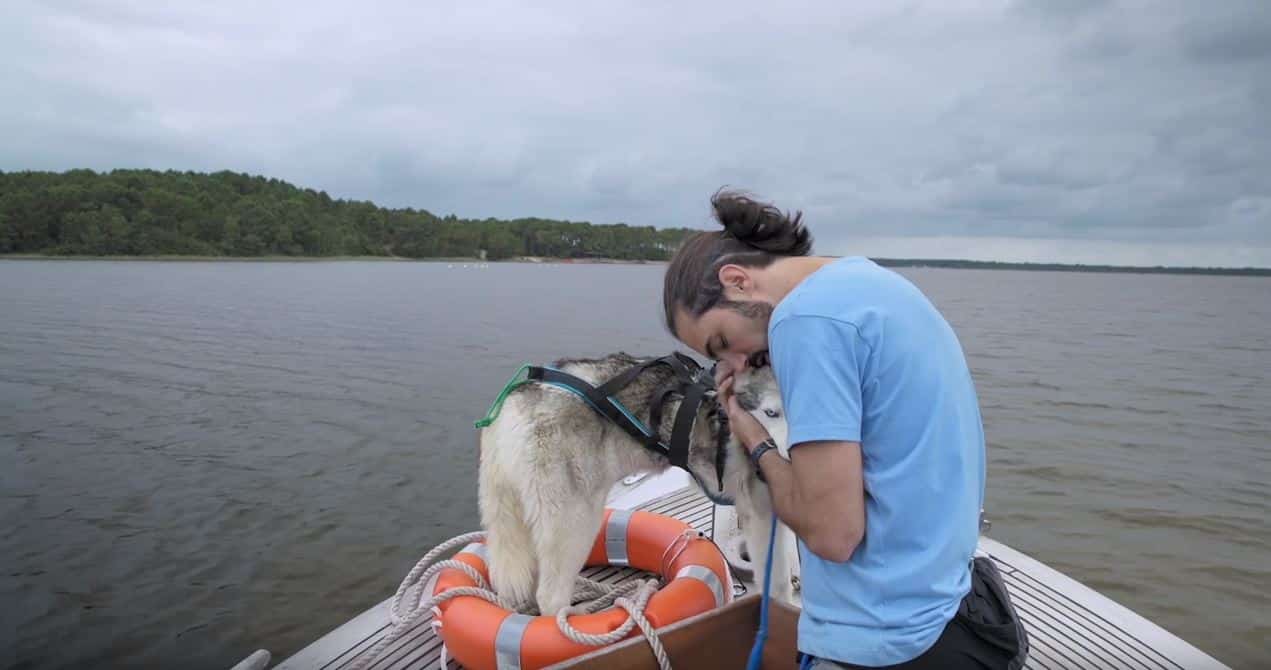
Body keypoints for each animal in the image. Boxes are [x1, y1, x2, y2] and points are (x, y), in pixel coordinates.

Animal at [477, 353, 793, 615]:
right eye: (771, 413)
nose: (794, 456)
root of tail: (515, 398)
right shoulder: (760, 516)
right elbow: (776, 586)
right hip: (576, 524)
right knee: (549, 596)